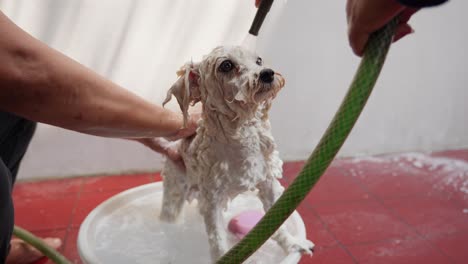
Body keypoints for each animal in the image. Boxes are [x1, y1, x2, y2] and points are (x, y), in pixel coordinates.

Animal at [159, 46, 312, 260]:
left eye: (258, 60)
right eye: (226, 65)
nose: (267, 73)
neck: (241, 138)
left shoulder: (267, 183)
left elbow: (277, 223)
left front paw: (292, 244)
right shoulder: (213, 201)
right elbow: (217, 241)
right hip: (175, 194)